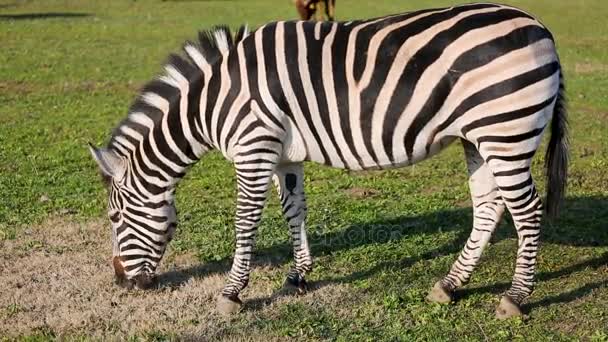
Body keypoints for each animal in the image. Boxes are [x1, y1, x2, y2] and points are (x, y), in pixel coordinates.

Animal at [89, 1, 564, 320]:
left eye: (114, 217)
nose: (120, 282)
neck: (213, 101)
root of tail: (539, 25)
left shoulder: (253, 148)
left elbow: (245, 221)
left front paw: (232, 293)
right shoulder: (284, 157)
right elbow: (293, 211)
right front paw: (299, 276)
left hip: (505, 131)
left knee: (527, 211)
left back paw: (515, 297)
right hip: (480, 138)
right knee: (489, 206)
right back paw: (449, 285)